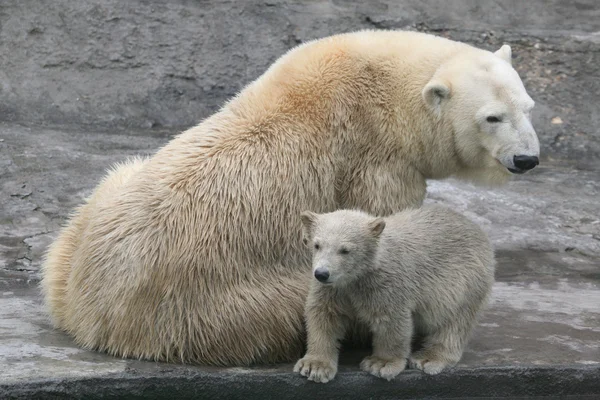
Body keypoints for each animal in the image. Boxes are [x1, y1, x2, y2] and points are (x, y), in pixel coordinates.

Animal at [292, 205, 494, 382]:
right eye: (317, 245)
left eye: (345, 250)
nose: (322, 273)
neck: (358, 276)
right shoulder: (334, 290)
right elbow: (324, 316)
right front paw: (315, 366)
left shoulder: (386, 284)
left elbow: (390, 320)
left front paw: (380, 364)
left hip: (466, 280)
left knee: (454, 321)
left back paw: (428, 358)